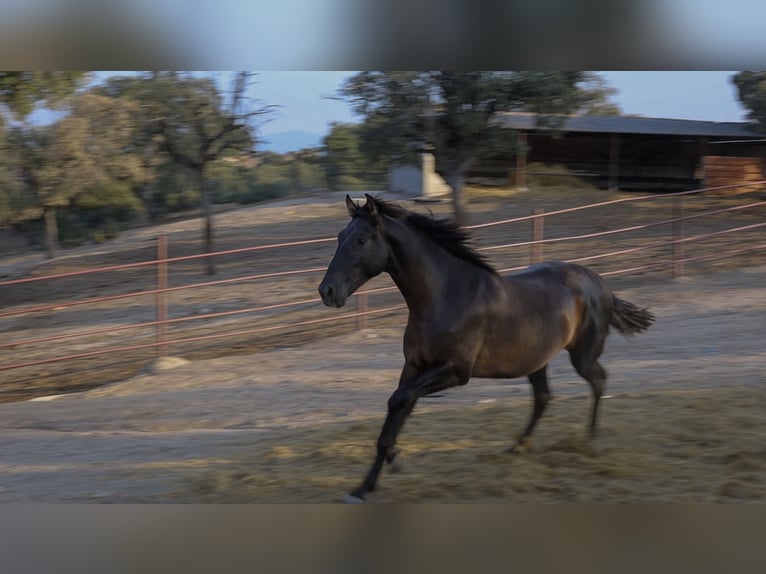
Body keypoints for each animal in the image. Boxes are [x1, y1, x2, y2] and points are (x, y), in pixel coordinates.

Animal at [318, 196, 656, 502]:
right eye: (339, 237)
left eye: (362, 240)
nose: (327, 291)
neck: (444, 296)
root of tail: (602, 286)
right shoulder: (414, 366)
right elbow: (397, 408)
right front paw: (364, 487)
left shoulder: (456, 371)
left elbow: (398, 401)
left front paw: (394, 458)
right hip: (536, 361)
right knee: (544, 397)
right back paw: (516, 447)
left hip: (582, 356)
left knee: (598, 380)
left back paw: (590, 440)